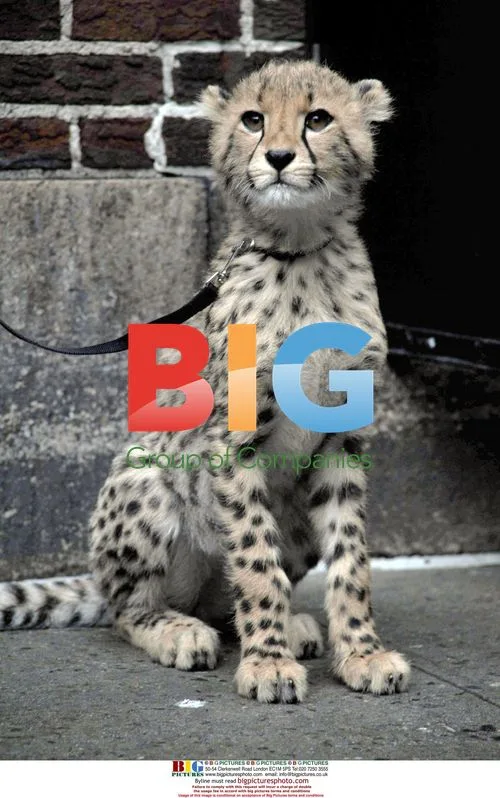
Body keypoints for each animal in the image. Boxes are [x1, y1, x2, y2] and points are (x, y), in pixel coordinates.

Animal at [0, 59, 411, 703]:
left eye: (318, 119)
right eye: (253, 119)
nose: (278, 157)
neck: (300, 253)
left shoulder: (343, 443)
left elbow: (351, 560)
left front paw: (362, 654)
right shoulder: (231, 443)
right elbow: (255, 560)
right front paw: (267, 664)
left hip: (295, 522)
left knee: (227, 599)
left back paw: (292, 626)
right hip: (143, 480)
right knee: (128, 610)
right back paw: (179, 632)